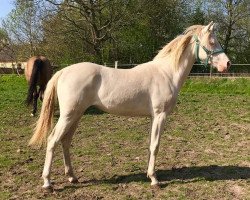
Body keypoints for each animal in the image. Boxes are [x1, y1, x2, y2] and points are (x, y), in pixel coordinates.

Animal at [28, 22, 230, 190]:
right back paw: (47, 183)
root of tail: (63, 71)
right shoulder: (160, 115)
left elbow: (150, 145)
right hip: (68, 116)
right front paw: (155, 180)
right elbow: (155, 145)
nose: (227, 63)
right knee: (52, 140)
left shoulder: (153, 117)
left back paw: (72, 177)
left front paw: (149, 174)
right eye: (212, 41)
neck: (166, 73)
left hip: (76, 116)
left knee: (65, 141)